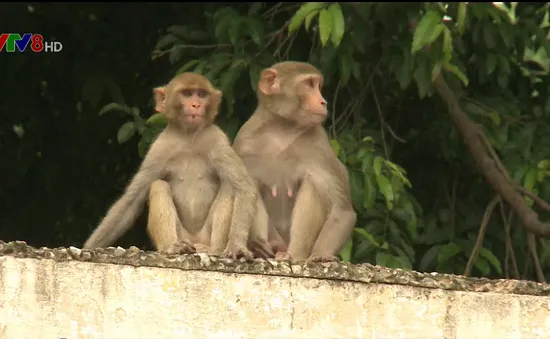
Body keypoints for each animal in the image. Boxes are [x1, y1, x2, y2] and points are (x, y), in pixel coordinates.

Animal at [83, 72, 274, 260]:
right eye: (187, 94)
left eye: (202, 94)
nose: (196, 104)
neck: (188, 136)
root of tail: (195, 240)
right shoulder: (158, 149)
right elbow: (131, 201)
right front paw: (89, 247)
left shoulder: (217, 140)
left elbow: (245, 186)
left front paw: (237, 245)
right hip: (183, 234)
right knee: (158, 186)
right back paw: (173, 247)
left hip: (205, 235)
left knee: (229, 187)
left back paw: (214, 250)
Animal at [232, 61, 358, 262]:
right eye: (309, 84)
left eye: (318, 86)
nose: (323, 102)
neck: (283, 128)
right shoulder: (244, 143)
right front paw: (257, 245)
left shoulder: (319, 147)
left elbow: (342, 210)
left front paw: (321, 255)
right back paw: (268, 247)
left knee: (313, 184)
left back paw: (292, 254)